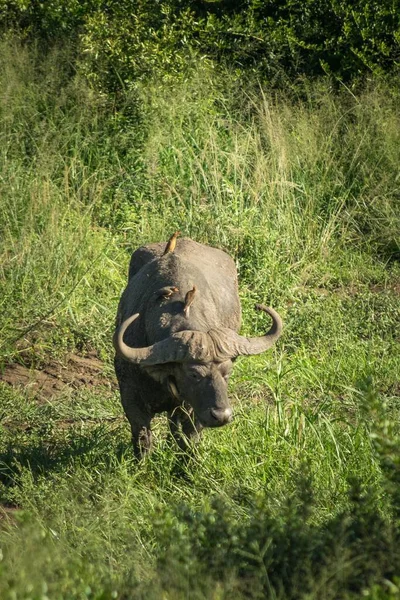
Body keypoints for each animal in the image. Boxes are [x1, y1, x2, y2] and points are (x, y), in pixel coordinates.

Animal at [112, 234, 282, 454]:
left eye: (227, 373)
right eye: (194, 374)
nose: (222, 415)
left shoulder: (191, 409)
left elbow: (189, 438)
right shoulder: (130, 396)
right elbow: (142, 438)